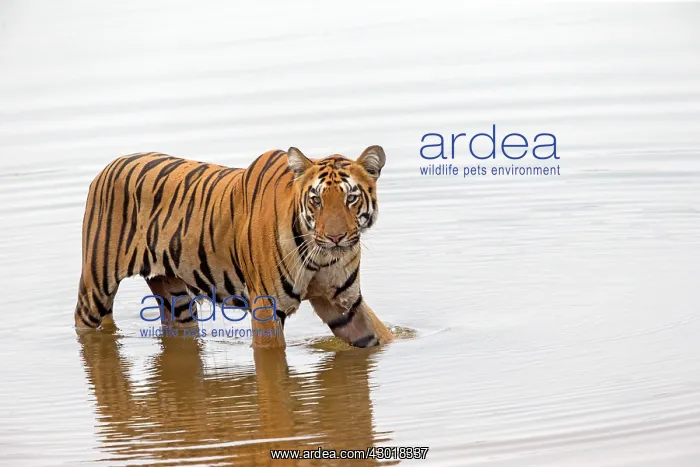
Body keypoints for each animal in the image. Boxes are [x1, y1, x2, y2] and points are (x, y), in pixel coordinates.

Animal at [73, 145, 394, 348]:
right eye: (316, 200)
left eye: (350, 198)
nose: (336, 238)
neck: (321, 258)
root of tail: (108, 166)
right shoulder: (266, 309)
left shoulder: (344, 304)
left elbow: (379, 337)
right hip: (96, 286)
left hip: (175, 298)